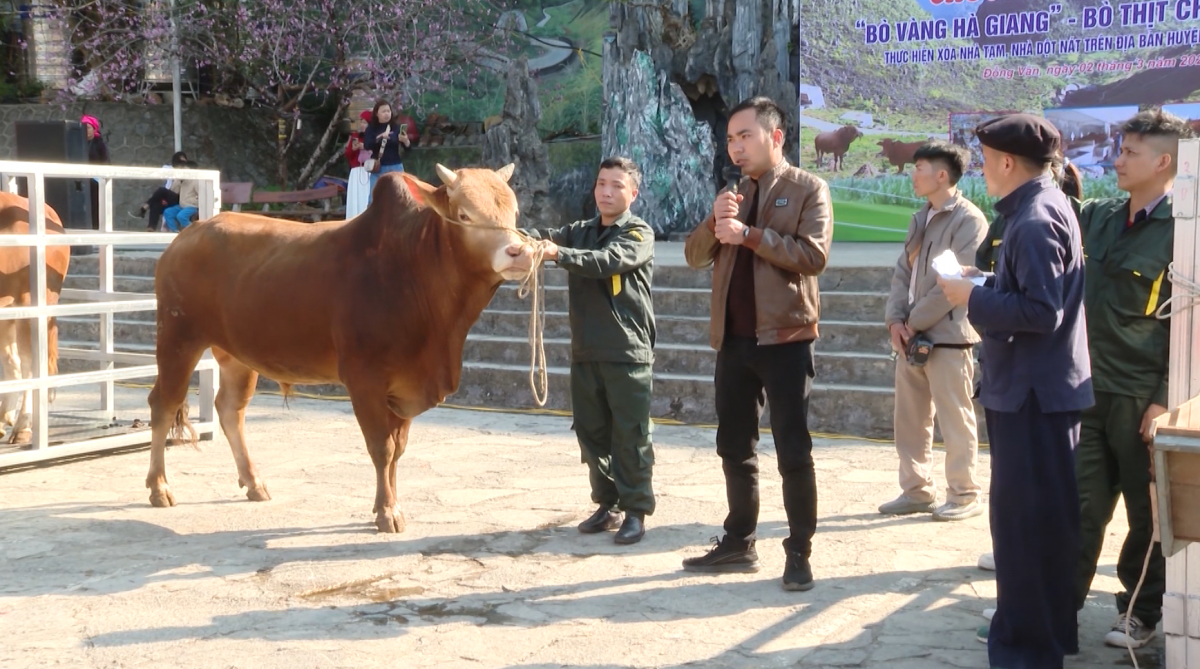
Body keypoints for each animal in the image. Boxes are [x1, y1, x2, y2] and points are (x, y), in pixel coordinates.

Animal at [142, 164, 537, 534]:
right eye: (465, 214)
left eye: (513, 213)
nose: (519, 252)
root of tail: (186, 236)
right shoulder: (364, 380)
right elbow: (382, 448)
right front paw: (387, 512)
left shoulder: (406, 385)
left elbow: (398, 450)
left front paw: (391, 504)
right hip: (177, 339)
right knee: (163, 405)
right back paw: (159, 488)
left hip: (237, 356)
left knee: (229, 410)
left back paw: (254, 482)